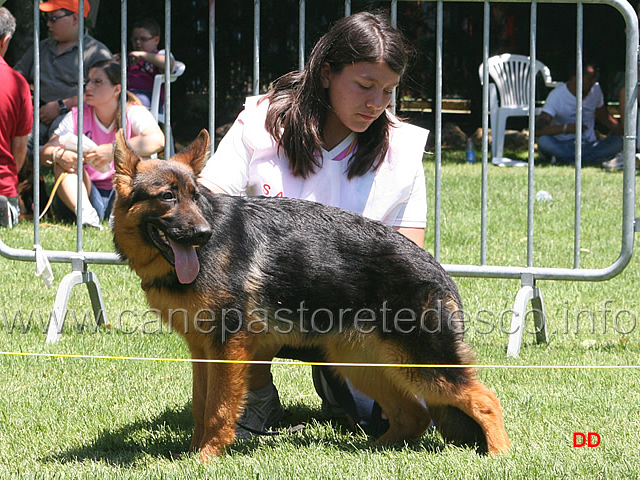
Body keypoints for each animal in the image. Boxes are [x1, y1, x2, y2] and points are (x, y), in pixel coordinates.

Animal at [110, 128, 510, 462]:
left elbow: (219, 408)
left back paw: (499, 455)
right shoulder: (203, 350)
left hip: (421, 363)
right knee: (414, 414)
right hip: (360, 362)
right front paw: (194, 451)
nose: (204, 234)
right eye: (167, 197)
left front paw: (206, 456)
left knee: (485, 399)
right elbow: (201, 405)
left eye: (195, 197)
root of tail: (439, 270)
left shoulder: (228, 347)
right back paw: (375, 449)